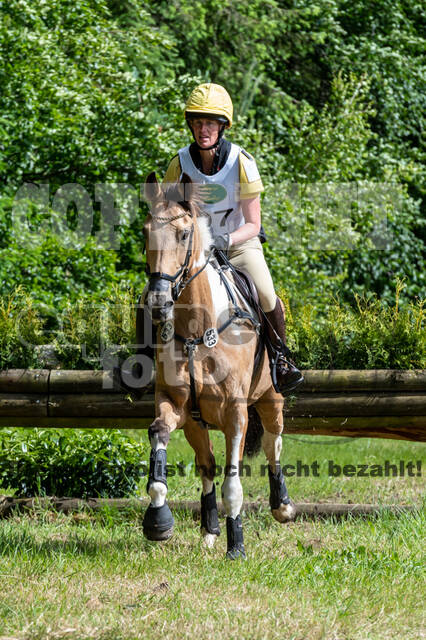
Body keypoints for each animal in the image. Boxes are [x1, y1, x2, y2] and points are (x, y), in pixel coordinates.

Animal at [141, 172, 295, 559]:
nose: (158, 302)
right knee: (207, 464)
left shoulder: (236, 414)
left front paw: (236, 545)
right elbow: (160, 440)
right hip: (197, 423)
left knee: (273, 443)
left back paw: (282, 506)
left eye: (183, 234)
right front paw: (158, 521)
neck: (197, 331)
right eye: (146, 232)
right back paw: (209, 529)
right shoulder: (175, 404)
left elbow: (233, 482)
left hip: (271, 399)